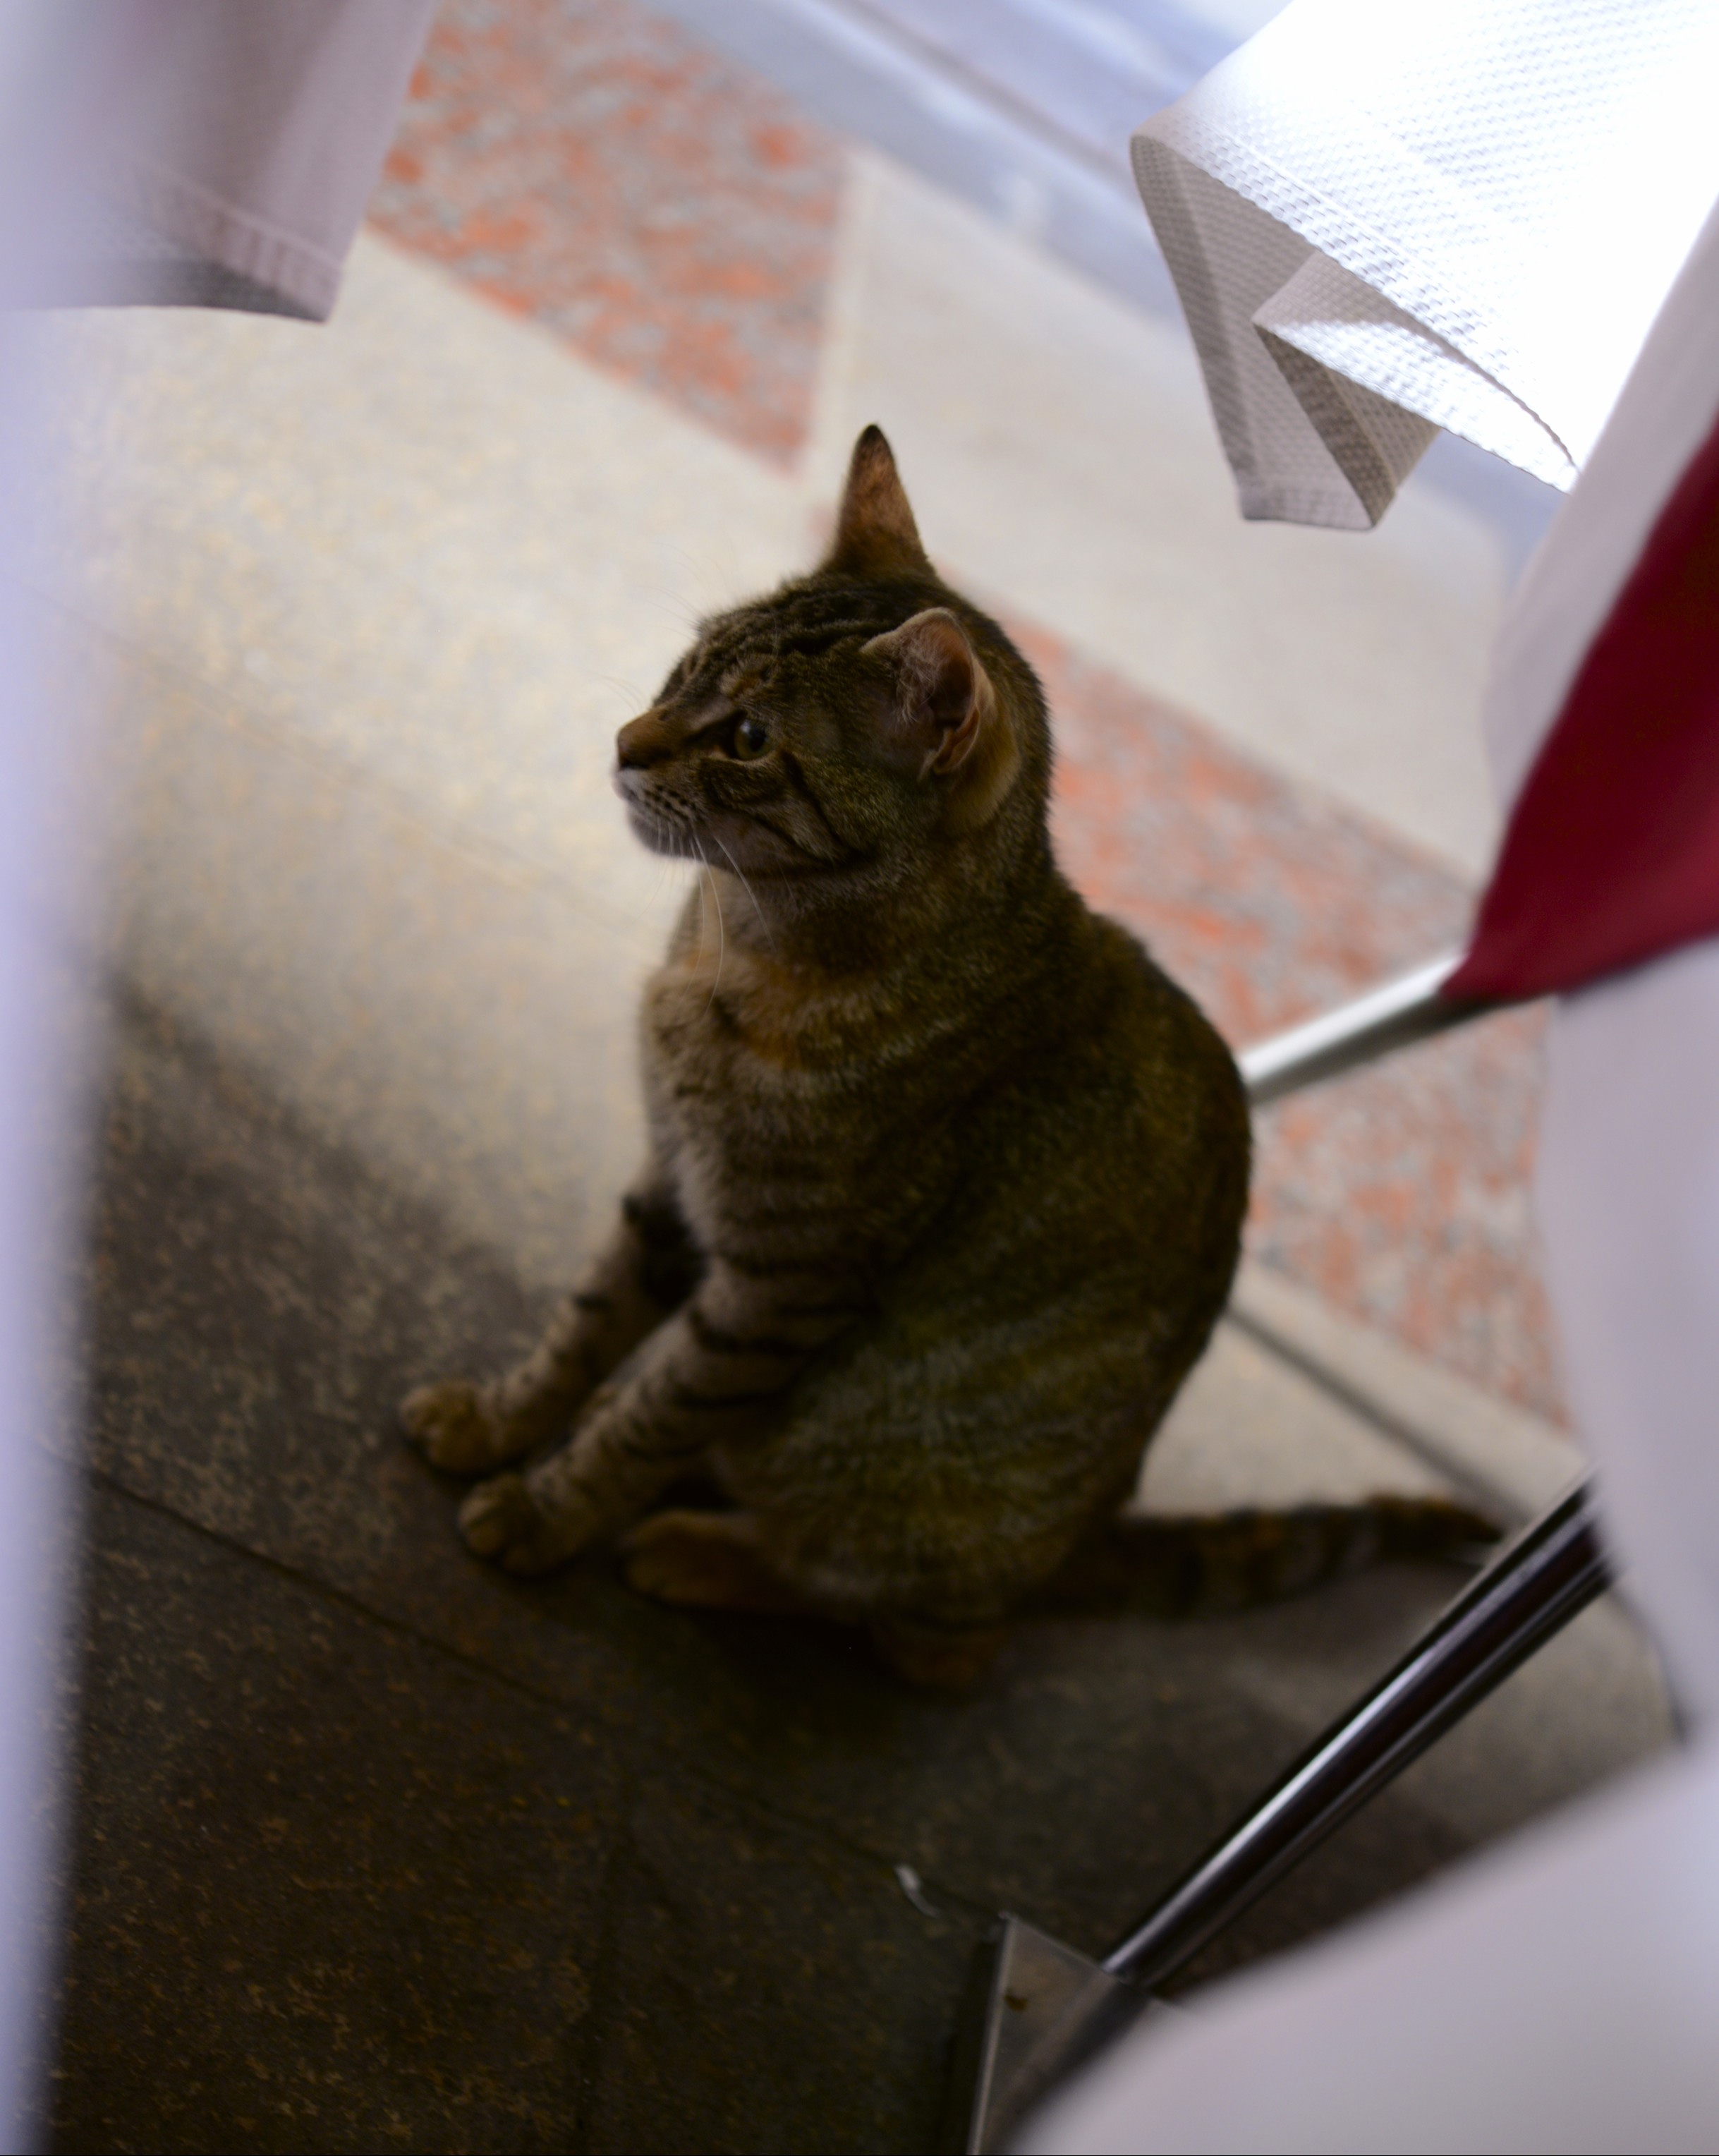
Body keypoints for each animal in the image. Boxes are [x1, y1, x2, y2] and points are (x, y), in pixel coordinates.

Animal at [400, 425, 1488, 1685]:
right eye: (688, 664)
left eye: (748, 740)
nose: (623, 745)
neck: (740, 947)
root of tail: (1084, 1539)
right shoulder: (669, 1184)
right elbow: (583, 1329)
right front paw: (501, 1420)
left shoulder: (779, 1286)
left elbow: (649, 1415)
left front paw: (548, 1510)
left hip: (878, 1465)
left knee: (924, 1636)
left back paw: (703, 1550)